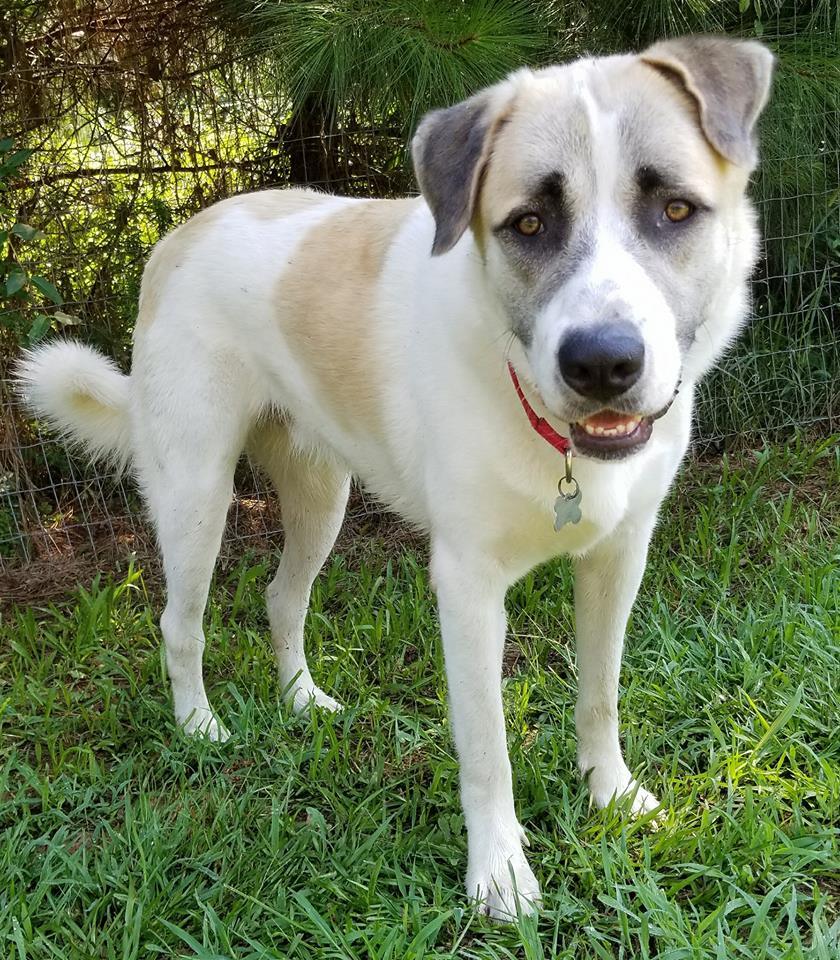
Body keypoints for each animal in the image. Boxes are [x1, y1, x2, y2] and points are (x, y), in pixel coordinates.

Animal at [19, 35, 772, 924]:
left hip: (322, 494)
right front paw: (499, 874)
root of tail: (182, 233)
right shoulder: (467, 587)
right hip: (196, 493)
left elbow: (601, 695)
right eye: (528, 223)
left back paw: (302, 701)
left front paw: (611, 795)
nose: (602, 364)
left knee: (282, 596)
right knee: (181, 623)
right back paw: (199, 726)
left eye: (676, 210)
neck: (551, 433)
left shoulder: (618, 558)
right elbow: (486, 749)